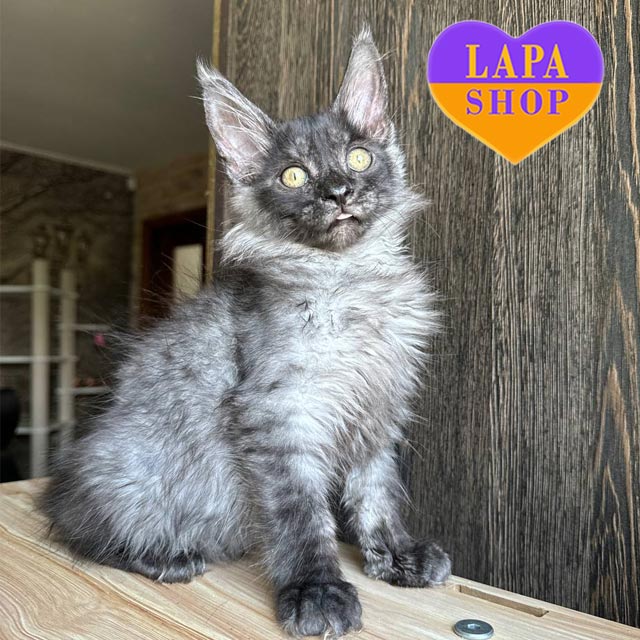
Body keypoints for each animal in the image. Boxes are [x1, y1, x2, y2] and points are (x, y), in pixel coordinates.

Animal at [41, 26, 451, 637]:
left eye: (359, 156)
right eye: (293, 175)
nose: (338, 191)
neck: (347, 281)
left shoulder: (378, 408)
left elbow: (376, 491)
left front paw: (395, 553)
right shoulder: (278, 412)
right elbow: (301, 516)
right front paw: (317, 590)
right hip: (133, 477)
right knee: (82, 532)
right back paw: (167, 557)